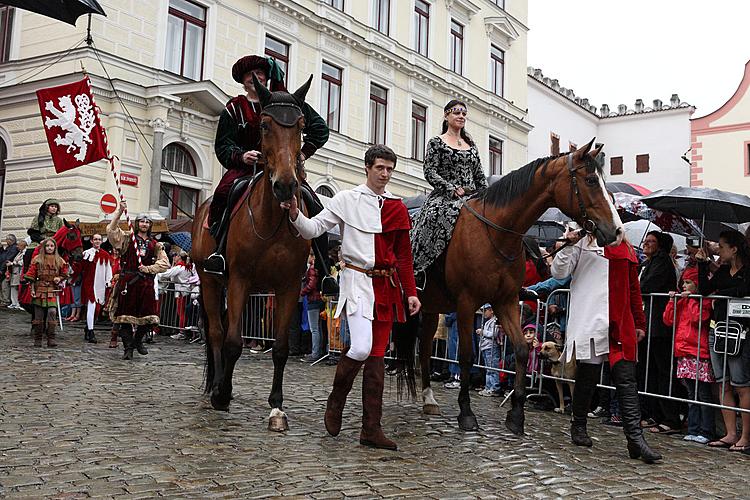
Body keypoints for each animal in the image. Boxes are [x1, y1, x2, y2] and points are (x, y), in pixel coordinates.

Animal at [194, 76, 314, 432]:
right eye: (264, 125)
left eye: (300, 125)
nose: (286, 185)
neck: (273, 222)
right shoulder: (239, 280)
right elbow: (233, 341)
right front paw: (222, 394)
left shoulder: (288, 287)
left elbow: (281, 348)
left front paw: (276, 408)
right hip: (210, 280)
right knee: (217, 333)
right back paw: (217, 387)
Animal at [402, 140, 624, 434]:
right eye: (590, 180)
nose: (617, 231)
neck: (497, 234)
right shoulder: (466, 303)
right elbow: (466, 355)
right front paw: (466, 413)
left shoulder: (504, 301)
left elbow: (520, 349)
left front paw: (516, 415)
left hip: (429, 307)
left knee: (425, 344)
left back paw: (428, 399)